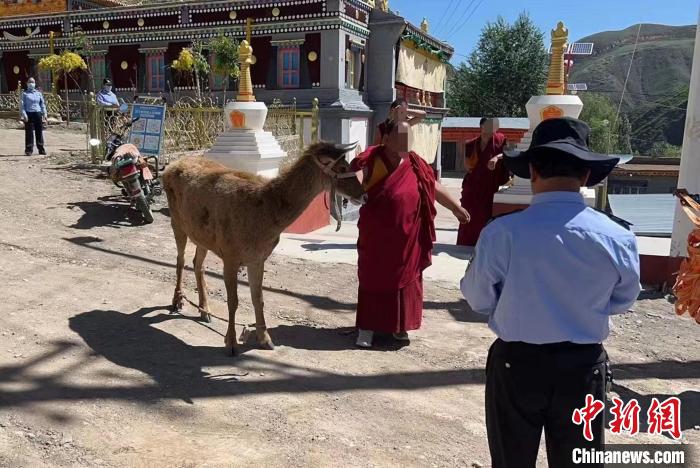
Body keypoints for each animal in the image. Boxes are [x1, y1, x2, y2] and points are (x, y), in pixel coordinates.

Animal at [162, 142, 365, 354]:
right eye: (342, 167)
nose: (363, 195)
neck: (265, 217)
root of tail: (169, 167)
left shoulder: (258, 258)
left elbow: (258, 298)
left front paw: (265, 340)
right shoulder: (230, 254)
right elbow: (233, 301)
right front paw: (231, 343)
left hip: (202, 234)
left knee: (197, 263)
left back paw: (205, 311)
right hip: (176, 220)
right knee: (180, 259)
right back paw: (177, 301)